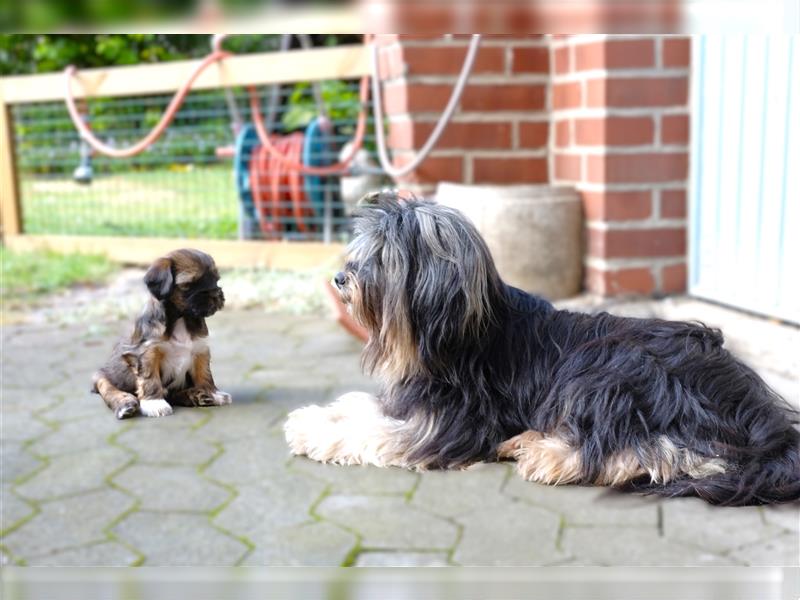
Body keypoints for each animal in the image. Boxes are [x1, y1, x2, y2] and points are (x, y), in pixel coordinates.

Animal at [94, 247, 233, 418]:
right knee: (111, 391)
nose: (216, 295)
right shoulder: (147, 352)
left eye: (216, 280)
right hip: (101, 378)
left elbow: (204, 373)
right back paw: (125, 405)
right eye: (189, 284)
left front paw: (212, 392)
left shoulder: (199, 350)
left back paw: (196, 395)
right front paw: (155, 404)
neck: (181, 318)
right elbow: (150, 378)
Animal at [286, 192, 800, 506]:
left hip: (612, 366)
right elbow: (361, 406)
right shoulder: (413, 400)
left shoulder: (451, 421)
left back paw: (547, 455)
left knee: (665, 453)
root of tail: (756, 406)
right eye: (361, 250)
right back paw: (527, 440)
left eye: (384, 257)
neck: (457, 335)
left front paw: (317, 435)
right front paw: (312, 417)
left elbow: (374, 433)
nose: (341, 277)